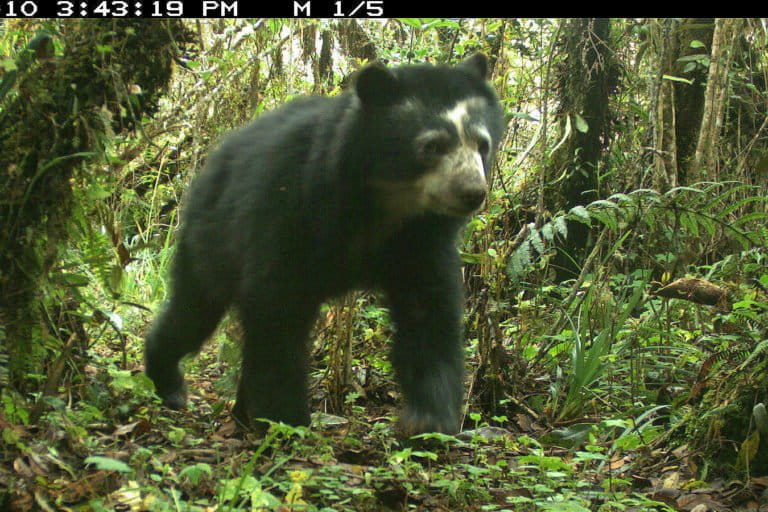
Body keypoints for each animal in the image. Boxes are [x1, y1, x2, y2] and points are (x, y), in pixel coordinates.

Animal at [146, 54, 504, 434]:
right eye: (433, 145)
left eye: (482, 144)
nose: (472, 192)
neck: (385, 200)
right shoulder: (290, 204)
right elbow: (278, 307)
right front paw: (287, 419)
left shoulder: (422, 240)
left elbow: (429, 314)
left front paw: (429, 421)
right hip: (212, 234)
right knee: (194, 311)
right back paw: (169, 384)